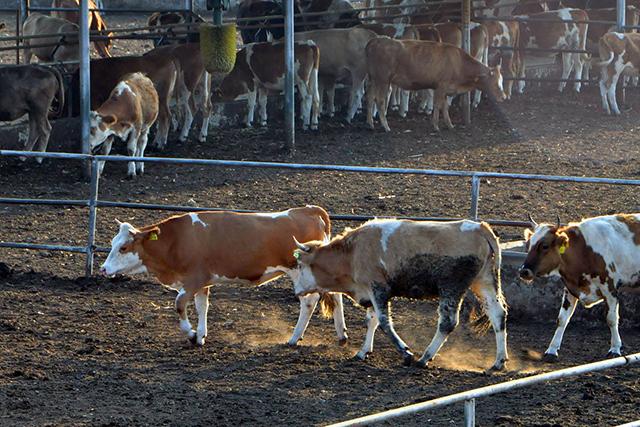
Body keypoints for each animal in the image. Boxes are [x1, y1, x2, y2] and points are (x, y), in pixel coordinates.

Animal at [101, 207, 350, 352]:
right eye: (113, 243)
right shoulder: (202, 284)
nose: (103, 269)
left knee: (308, 302)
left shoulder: (192, 281)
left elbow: (180, 305)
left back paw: (294, 338)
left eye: (123, 247)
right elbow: (202, 306)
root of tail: (310, 211)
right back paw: (341, 335)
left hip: (300, 272)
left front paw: (191, 334)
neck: (177, 240)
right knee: (336, 296)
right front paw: (201, 335)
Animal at [292, 219, 510, 372]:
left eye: (301, 265)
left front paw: (406, 353)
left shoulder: (378, 288)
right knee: (498, 314)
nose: (296, 291)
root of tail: (480, 228)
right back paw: (499, 361)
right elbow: (371, 321)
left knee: (448, 322)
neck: (352, 253)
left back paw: (424, 358)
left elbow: (384, 322)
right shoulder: (370, 292)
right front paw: (363, 352)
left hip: (452, 287)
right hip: (484, 281)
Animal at [364, 37, 504, 133]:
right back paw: (386, 126)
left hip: (373, 79)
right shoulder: (441, 86)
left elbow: (445, 107)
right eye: (496, 84)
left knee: (370, 98)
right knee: (380, 100)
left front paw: (449, 125)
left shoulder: (446, 89)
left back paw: (370, 124)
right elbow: (438, 105)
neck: (459, 64)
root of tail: (376, 40)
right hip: (383, 80)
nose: (503, 97)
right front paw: (436, 126)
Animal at [516, 214, 640, 362]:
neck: (584, 250)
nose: (524, 271)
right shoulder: (569, 289)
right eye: (528, 245)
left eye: (545, 246)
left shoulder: (610, 289)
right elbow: (562, 319)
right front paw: (552, 350)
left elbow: (611, 319)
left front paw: (615, 348)